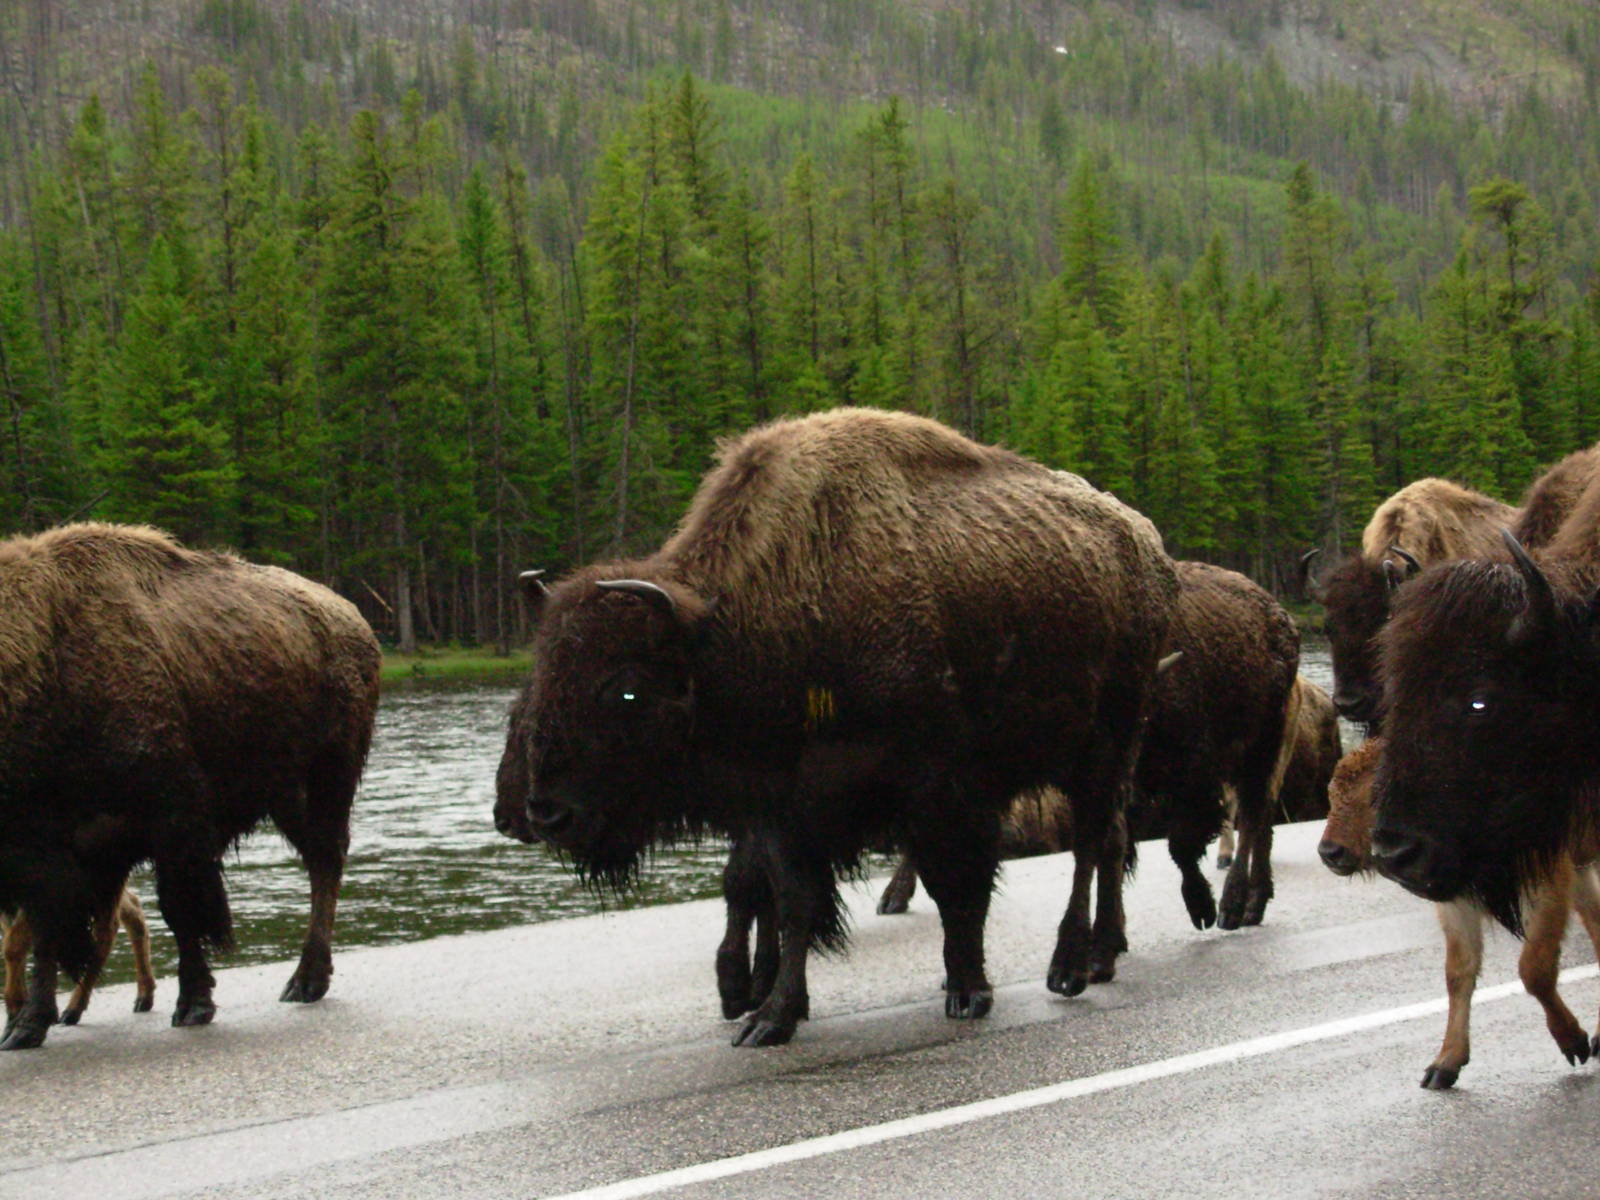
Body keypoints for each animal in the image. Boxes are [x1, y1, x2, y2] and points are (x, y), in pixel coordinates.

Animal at [0, 523, 380, 1049]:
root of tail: (353, 618)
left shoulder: (172, 821)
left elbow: (180, 910)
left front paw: (194, 1005)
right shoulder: (46, 855)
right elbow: (45, 934)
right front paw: (26, 1026)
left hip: (327, 778)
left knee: (325, 860)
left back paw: (305, 981)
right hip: (286, 796)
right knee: (321, 857)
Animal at [496, 409, 1177, 1046]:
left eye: (626, 688)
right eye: (543, 675)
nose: (545, 811)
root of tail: (1146, 544)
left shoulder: (938, 790)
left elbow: (956, 887)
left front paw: (967, 991)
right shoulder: (782, 808)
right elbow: (793, 901)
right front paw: (771, 1018)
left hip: (1106, 745)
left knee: (1092, 846)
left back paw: (1071, 968)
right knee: (1107, 843)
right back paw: (1101, 955)